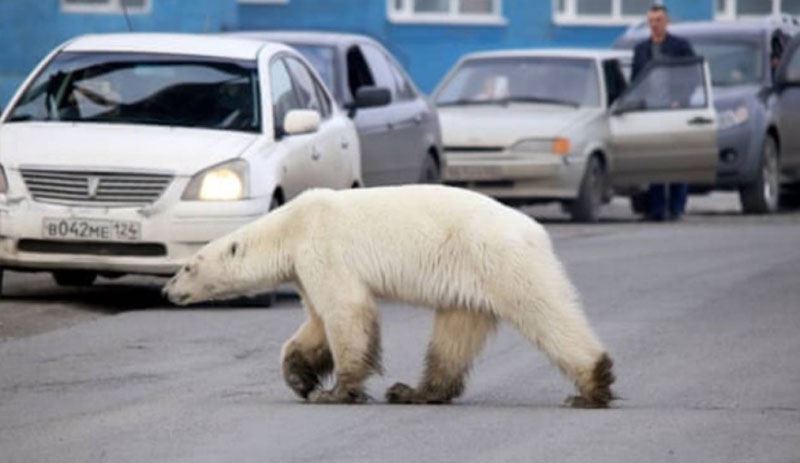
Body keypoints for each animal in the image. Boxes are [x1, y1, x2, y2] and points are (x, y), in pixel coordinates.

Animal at [161, 183, 612, 408]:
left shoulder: (323, 245)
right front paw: (301, 378)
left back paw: (592, 386)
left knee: (545, 312)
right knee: (455, 333)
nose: (167, 290)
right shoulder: (306, 266)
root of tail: (536, 230)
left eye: (187, 267)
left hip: (499, 259)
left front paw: (334, 393)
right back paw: (415, 392)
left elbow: (345, 310)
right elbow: (316, 323)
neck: (291, 225)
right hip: (470, 280)